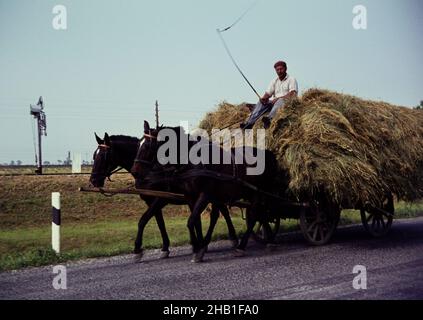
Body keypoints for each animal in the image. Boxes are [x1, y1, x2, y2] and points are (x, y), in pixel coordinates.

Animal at [89, 132, 238, 260]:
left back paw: (229, 239)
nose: (93, 181)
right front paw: (166, 248)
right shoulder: (151, 201)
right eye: (94, 156)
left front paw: (137, 250)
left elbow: (143, 220)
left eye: (102, 156)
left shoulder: (161, 198)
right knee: (218, 213)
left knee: (220, 214)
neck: (149, 171)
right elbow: (160, 223)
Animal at [131, 121, 280, 262]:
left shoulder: (203, 195)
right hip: (250, 193)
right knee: (260, 213)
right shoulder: (190, 196)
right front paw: (198, 246)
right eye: (138, 144)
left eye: (147, 145)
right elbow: (195, 221)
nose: (135, 171)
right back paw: (269, 240)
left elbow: (190, 221)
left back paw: (242, 246)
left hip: (259, 192)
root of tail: (268, 153)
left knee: (255, 215)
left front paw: (197, 249)